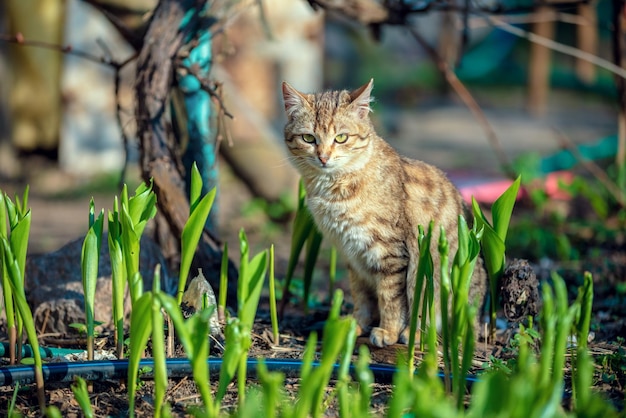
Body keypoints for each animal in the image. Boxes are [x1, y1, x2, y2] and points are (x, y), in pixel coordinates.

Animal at [280, 78, 488, 346]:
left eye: (341, 137)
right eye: (308, 138)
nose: (323, 157)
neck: (335, 186)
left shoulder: (389, 253)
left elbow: (390, 299)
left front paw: (388, 331)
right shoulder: (353, 256)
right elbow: (362, 297)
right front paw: (357, 324)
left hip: (430, 272)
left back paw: (413, 333)